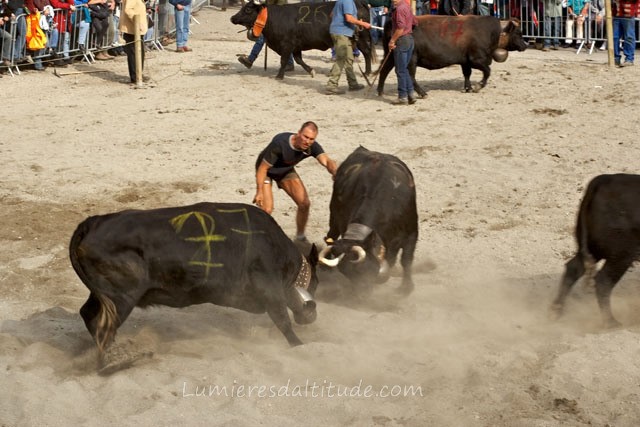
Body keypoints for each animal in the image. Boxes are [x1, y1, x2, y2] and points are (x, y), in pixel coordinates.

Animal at [230, 0, 372, 79]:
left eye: (248, 9)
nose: (232, 18)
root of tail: (359, 2)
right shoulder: (296, 46)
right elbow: (299, 60)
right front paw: (311, 71)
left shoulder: (287, 44)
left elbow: (283, 60)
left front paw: (279, 76)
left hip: (361, 38)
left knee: (366, 52)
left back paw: (367, 72)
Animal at [378, 15, 528, 96]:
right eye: (518, 33)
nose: (525, 45)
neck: (490, 31)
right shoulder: (477, 59)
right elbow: (487, 71)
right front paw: (478, 86)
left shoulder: (465, 61)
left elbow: (467, 74)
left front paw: (468, 88)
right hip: (411, 59)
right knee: (410, 75)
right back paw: (422, 93)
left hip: (392, 56)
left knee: (384, 71)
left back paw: (380, 91)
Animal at [552, 174, 640, 328]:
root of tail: (603, 179)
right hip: (621, 256)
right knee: (603, 282)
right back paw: (611, 323)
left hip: (595, 249)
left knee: (574, 268)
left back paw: (556, 312)